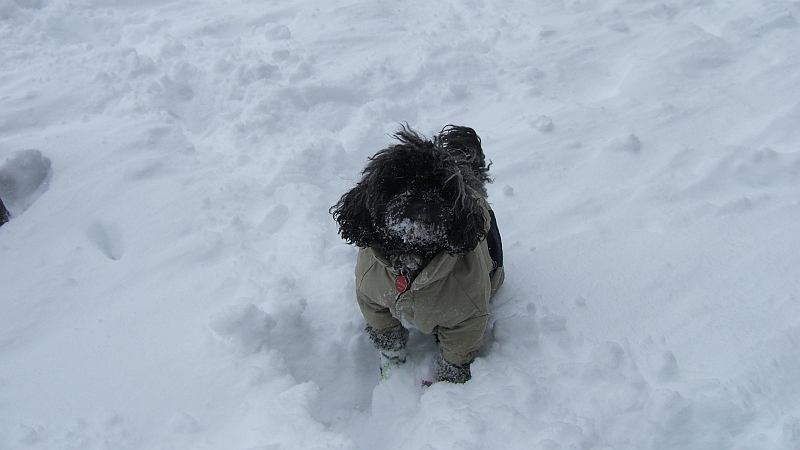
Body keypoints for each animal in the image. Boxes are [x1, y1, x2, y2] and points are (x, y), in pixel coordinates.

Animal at [330, 124, 504, 384]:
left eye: (442, 188)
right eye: (398, 184)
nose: (422, 201)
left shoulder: (465, 322)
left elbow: (453, 361)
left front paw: (447, 389)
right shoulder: (376, 307)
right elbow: (391, 348)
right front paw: (392, 381)